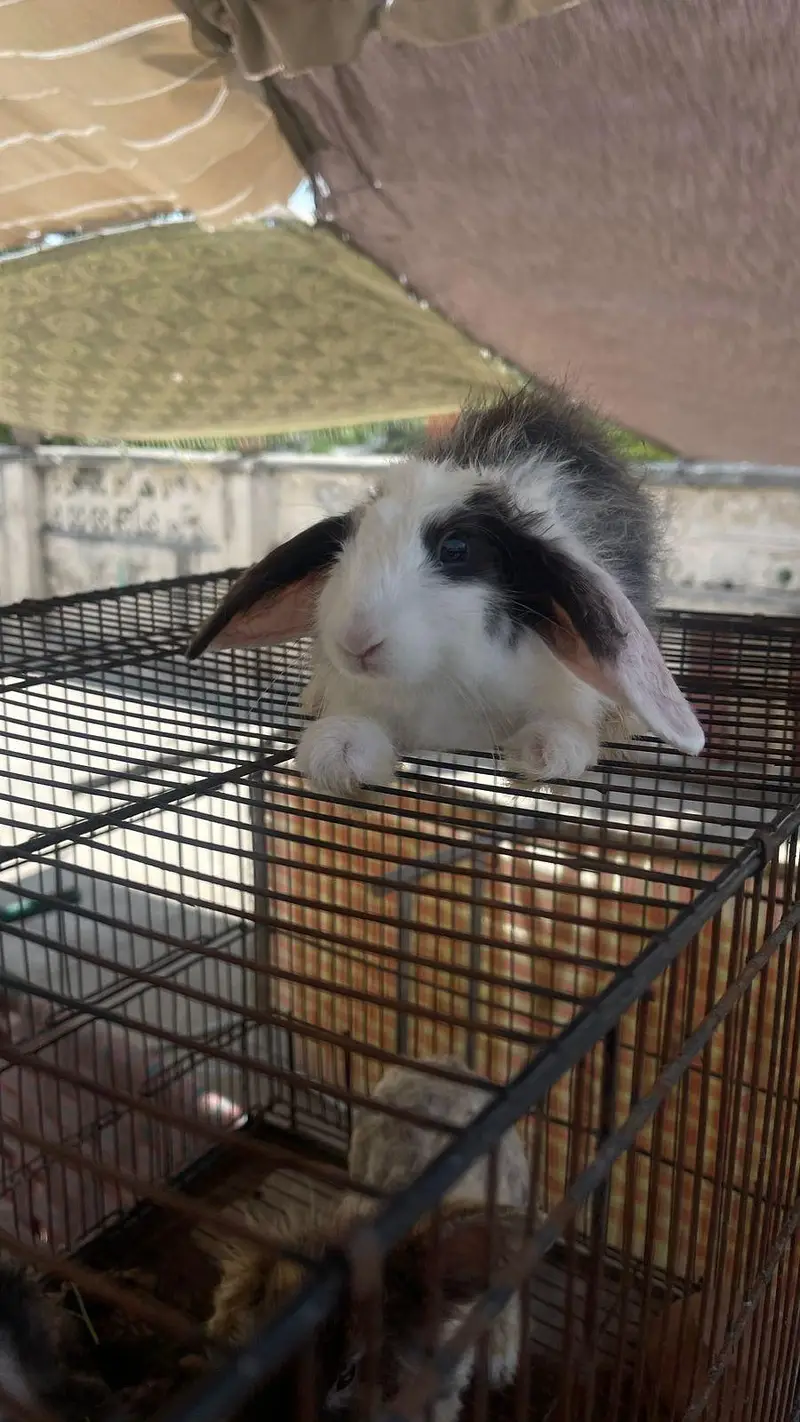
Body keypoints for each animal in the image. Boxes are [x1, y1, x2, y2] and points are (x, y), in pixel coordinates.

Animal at [187, 383, 705, 799]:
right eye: (346, 542)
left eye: (456, 549)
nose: (355, 642)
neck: (444, 678)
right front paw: (336, 753)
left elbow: (564, 731)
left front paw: (543, 752)